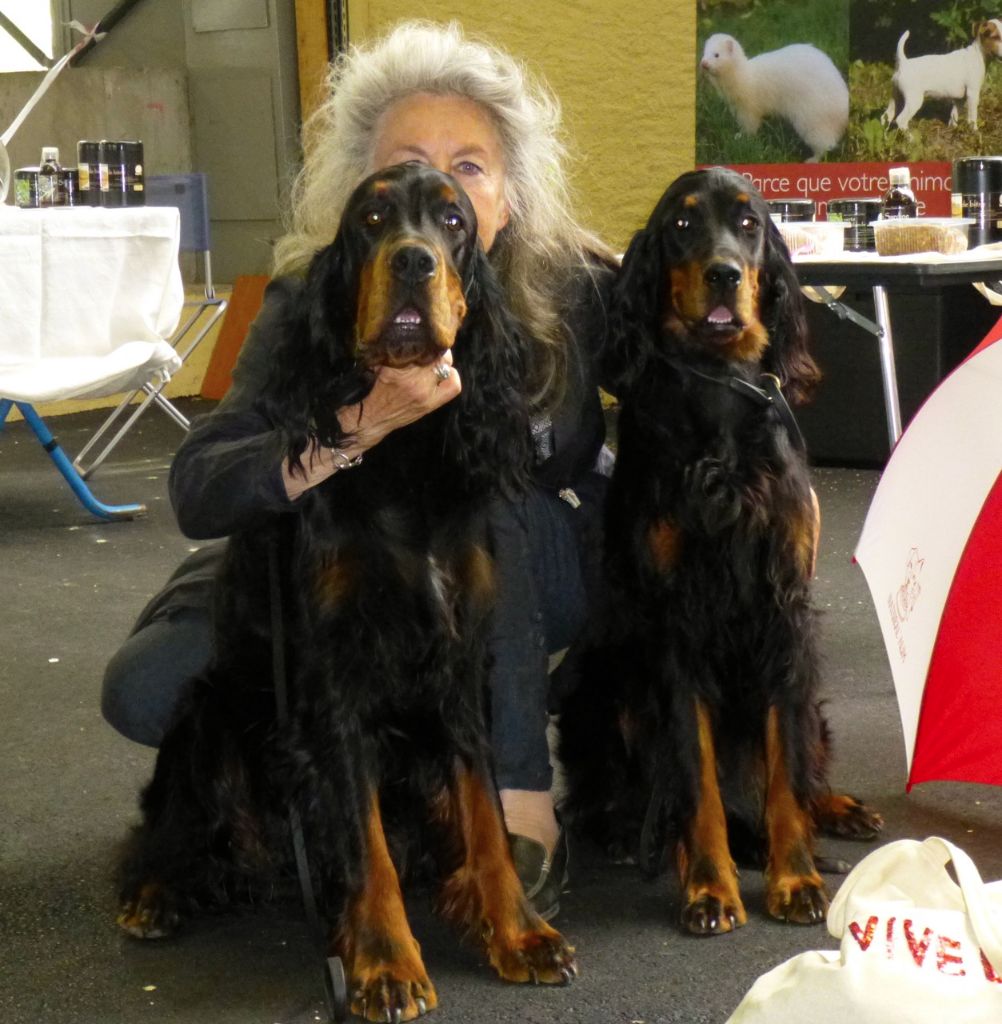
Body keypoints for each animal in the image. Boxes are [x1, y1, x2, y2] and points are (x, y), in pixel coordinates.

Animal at [115, 163, 573, 1019]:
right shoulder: (335, 684)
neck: (404, 457)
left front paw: (516, 932)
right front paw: (387, 964)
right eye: (371, 219)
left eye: (453, 221)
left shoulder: (459, 668)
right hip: (205, 714)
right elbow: (366, 849)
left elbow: (485, 817)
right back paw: (155, 892)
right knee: (167, 827)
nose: (414, 262)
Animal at [560, 167, 880, 937]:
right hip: (595, 684)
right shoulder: (676, 622)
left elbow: (785, 763)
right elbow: (694, 775)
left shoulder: (783, 609)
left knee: (803, 758)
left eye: (749, 223)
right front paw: (709, 887)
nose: (724, 275)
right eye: (680, 225)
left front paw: (794, 877)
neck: (721, 405)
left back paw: (835, 809)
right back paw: (628, 832)